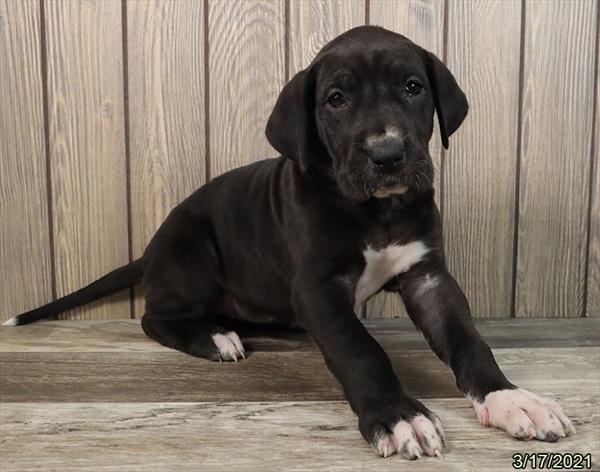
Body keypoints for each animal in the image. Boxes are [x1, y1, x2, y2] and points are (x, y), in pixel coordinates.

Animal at [5, 27, 576, 460]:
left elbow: (466, 339)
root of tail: (150, 251)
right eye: (336, 100)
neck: (377, 211)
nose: (388, 154)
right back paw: (213, 337)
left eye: (413, 87)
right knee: (155, 317)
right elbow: (359, 348)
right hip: (193, 253)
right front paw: (398, 415)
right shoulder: (319, 288)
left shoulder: (427, 276)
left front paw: (510, 398)